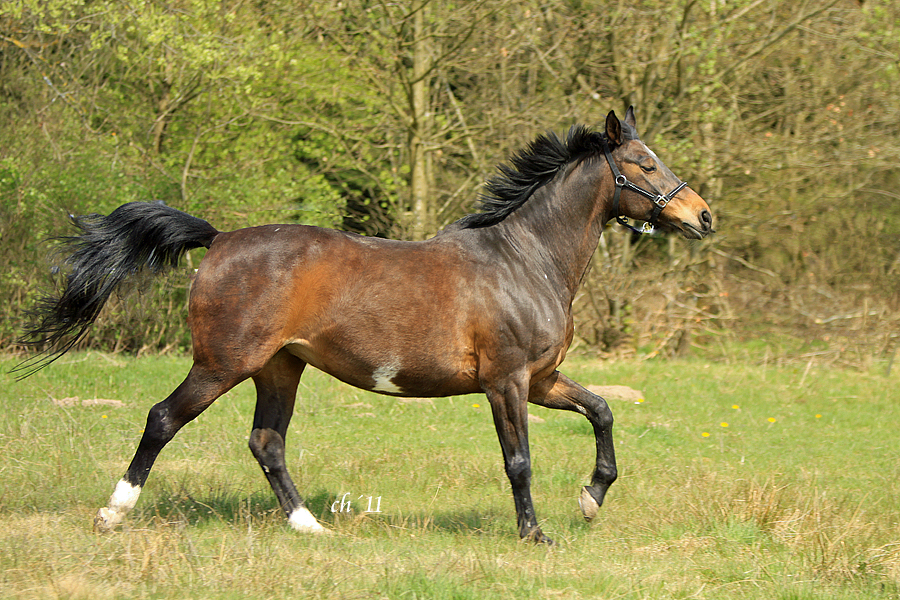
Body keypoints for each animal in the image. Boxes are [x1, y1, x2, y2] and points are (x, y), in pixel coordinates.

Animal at [15, 108, 712, 544]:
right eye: (644, 163)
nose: (703, 216)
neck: (524, 259)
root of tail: (218, 240)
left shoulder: (543, 380)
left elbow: (602, 412)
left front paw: (591, 500)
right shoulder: (508, 381)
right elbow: (519, 460)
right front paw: (535, 534)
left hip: (280, 367)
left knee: (267, 443)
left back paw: (310, 527)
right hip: (223, 364)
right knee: (163, 419)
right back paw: (112, 515)